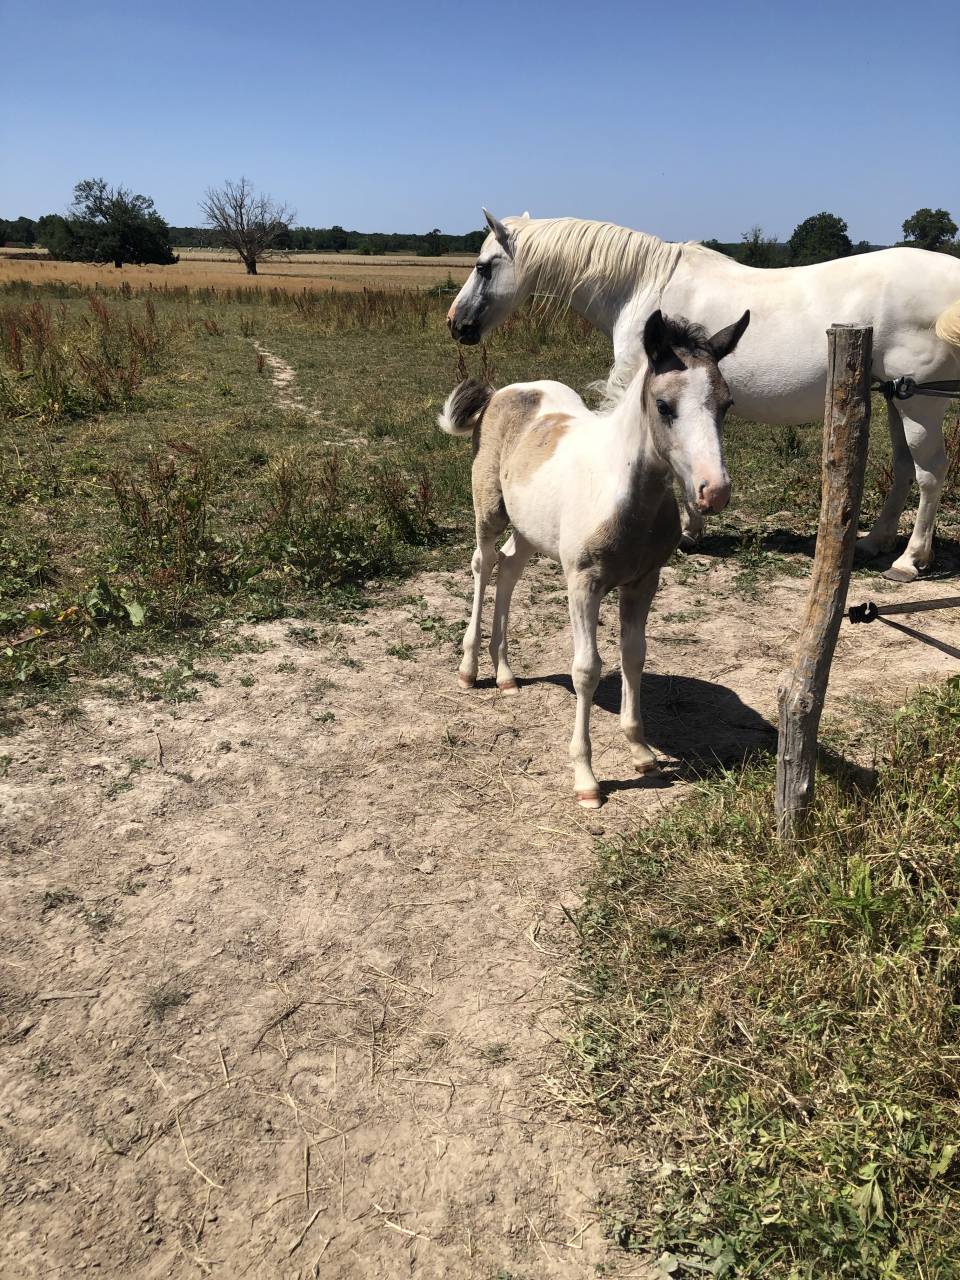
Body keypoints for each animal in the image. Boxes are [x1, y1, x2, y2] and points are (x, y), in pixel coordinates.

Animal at [438, 307, 749, 808]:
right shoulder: (583, 582)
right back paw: (469, 670)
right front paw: (586, 778)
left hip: (529, 529)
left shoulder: (643, 581)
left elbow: (633, 655)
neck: (624, 493)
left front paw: (640, 751)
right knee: (483, 565)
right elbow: (586, 670)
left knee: (509, 569)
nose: (713, 491)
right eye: (664, 406)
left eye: (726, 404)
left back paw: (504, 673)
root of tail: (505, 391)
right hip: (489, 511)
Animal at [447, 211, 960, 582]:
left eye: (483, 267)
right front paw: (694, 527)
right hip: (895, 397)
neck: (643, 285)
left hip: (919, 403)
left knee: (930, 472)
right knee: (903, 466)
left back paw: (909, 561)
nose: (457, 325)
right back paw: (875, 542)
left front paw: (688, 531)